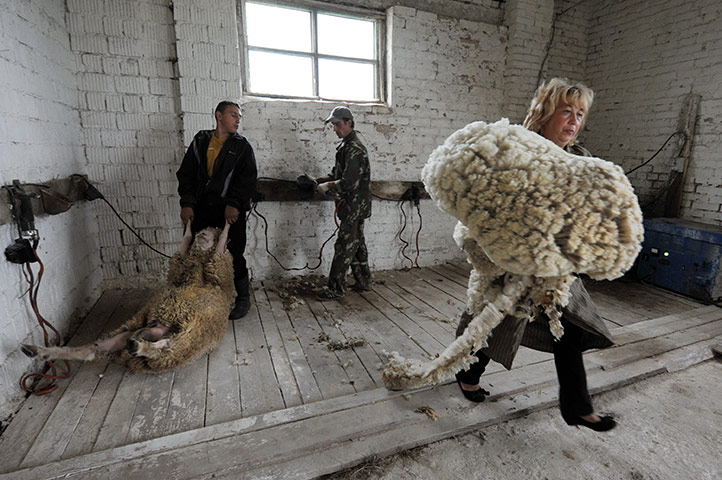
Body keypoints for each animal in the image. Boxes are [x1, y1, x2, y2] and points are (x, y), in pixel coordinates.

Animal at [21, 222, 234, 374]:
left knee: (162, 349)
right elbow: (183, 246)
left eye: (210, 231)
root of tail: (162, 327)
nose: (202, 233)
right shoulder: (178, 267)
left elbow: (220, 246)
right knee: (91, 350)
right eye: (203, 230)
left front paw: (226, 227)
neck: (194, 266)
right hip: (128, 336)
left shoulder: (219, 271)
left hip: (189, 338)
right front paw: (190, 229)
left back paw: (140, 346)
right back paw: (37, 351)